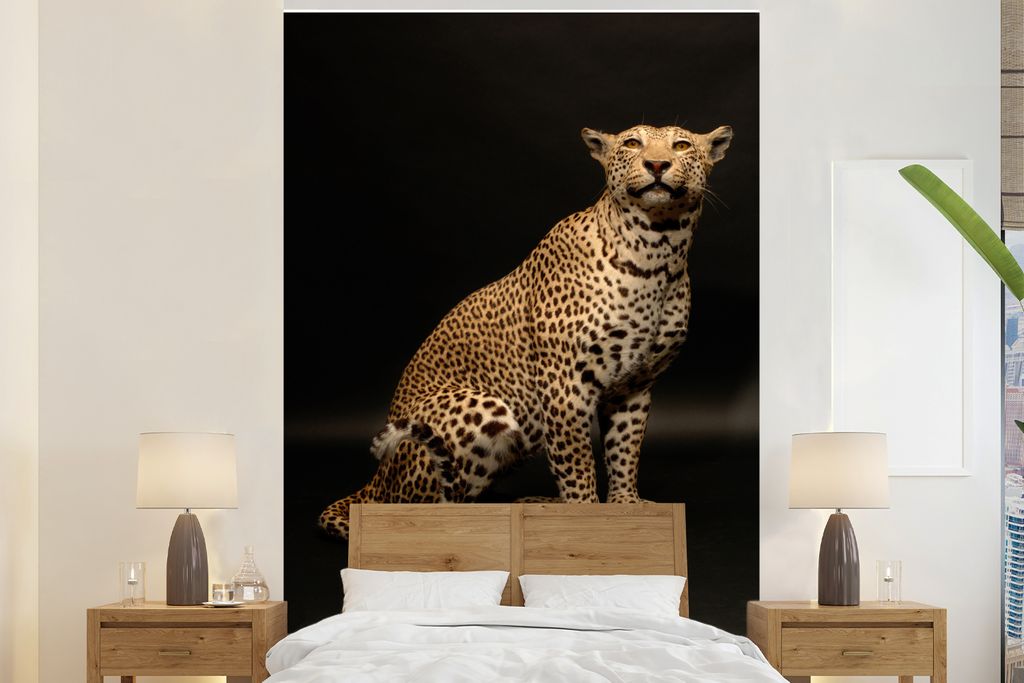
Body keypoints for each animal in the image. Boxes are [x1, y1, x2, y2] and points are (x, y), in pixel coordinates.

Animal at [320, 123, 733, 539]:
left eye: (681, 145)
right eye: (633, 143)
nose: (657, 164)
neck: (658, 251)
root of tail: (375, 480)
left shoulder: (634, 387)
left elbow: (624, 453)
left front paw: (625, 507)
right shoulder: (565, 387)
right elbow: (577, 466)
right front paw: (585, 520)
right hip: (480, 408)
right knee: (430, 510)